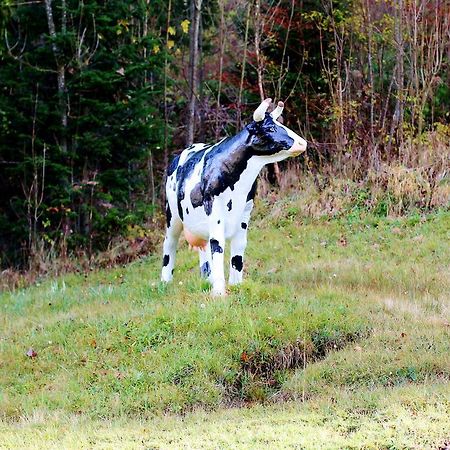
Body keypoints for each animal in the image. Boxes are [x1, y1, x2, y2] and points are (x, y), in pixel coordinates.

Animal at [161, 98, 306, 296]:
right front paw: (219, 293)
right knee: (170, 244)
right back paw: (164, 283)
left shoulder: (246, 209)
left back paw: (207, 279)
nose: (302, 143)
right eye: (270, 128)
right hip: (172, 215)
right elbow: (217, 244)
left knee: (203, 247)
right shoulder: (213, 206)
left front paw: (236, 285)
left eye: (281, 124)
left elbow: (239, 245)